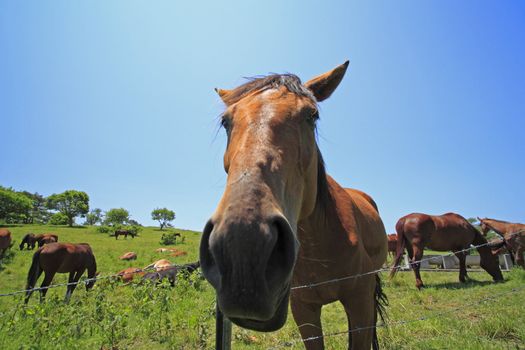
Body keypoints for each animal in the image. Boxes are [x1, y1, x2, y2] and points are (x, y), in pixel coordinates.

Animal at [199, 61, 386, 348]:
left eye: (312, 115)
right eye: (226, 121)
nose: (242, 246)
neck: (321, 244)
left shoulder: (360, 300)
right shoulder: (304, 310)